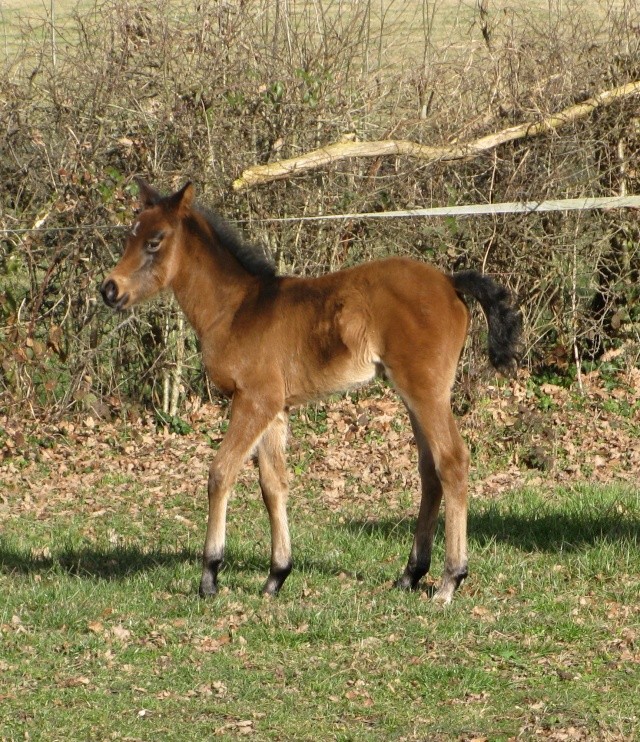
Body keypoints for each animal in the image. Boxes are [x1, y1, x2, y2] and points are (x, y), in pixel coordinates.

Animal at [101, 180, 520, 604]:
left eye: (154, 241)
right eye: (129, 237)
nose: (109, 289)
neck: (236, 309)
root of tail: (450, 282)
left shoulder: (253, 400)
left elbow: (221, 472)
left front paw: (210, 575)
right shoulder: (275, 409)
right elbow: (273, 485)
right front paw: (276, 576)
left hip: (426, 391)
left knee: (452, 461)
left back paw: (451, 579)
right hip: (413, 393)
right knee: (429, 470)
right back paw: (410, 574)